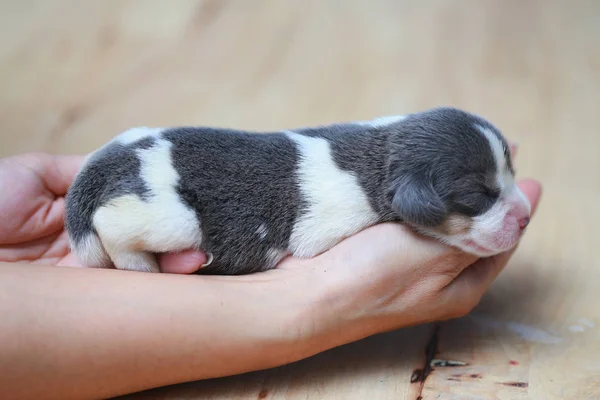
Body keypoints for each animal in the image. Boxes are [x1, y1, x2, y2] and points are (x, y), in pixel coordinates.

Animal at [64, 107, 528, 276]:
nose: (525, 218)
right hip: (173, 219)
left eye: (511, 174)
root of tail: (101, 166)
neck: (378, 159)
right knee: (113, 224)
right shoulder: (317, 233)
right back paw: (138, 264)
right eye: (479, 196)